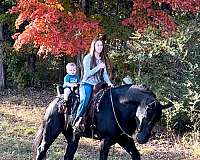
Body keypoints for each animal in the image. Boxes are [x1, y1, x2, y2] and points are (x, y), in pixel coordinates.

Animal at [32, 84, 173, 159]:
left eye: (157, 118)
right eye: (146, 115)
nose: (142, 138)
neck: (117, 107)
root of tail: (56, 100)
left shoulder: (124, 140)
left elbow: (136, 155)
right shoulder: (105, 142)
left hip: (73, 137)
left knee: (68, 154)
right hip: (51, 132)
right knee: (41, 149)